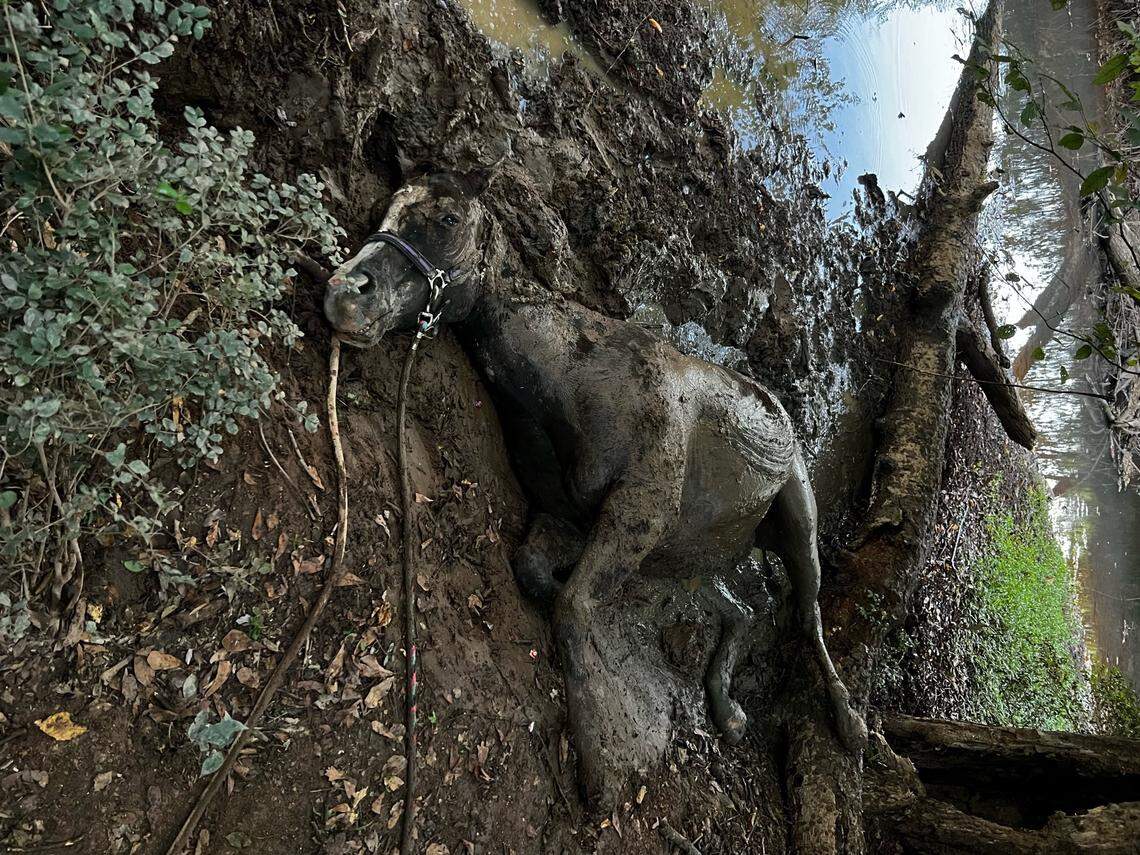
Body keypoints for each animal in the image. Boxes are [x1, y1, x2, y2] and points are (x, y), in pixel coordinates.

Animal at [323, 170, 866, 799]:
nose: (344, 292)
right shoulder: (571, 516)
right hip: (690, 559)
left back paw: (849, 722)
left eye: (449, 219)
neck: (573, 383)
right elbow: (538, 575)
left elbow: (572, 605)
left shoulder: (639, 510)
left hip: (797, 521)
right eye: (391, 206)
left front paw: (600, 772)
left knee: (807, 614)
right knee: (742, 614)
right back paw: (728, 710)